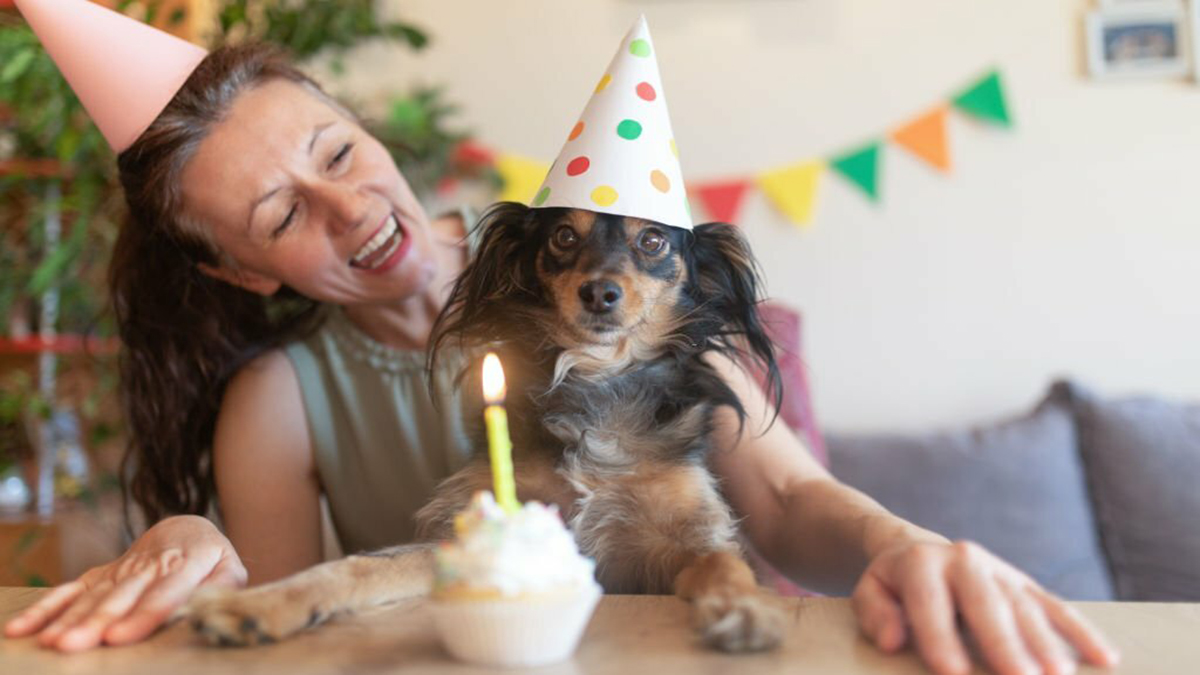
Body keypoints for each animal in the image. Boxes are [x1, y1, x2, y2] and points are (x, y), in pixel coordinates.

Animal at [187, 200, 787, 653]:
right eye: (564, 236)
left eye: (654, 241)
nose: (599, 293)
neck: (596, 381)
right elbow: (361, 567)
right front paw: (257, 604)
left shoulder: (675, 545)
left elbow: (723, 562)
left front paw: (743, 609)